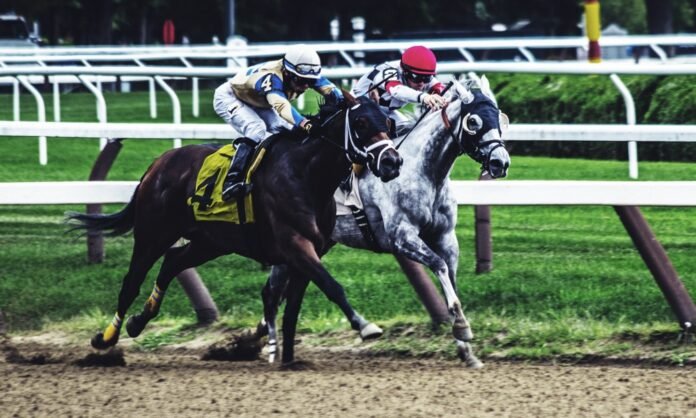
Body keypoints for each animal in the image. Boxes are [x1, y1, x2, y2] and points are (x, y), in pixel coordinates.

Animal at [66, 91, 403, 365]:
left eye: (388, 121)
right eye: (360, 122)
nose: (392, 162)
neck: (307, 175)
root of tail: (158, 163)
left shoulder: (311, 250)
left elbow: (293, 305)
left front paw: (288, 359)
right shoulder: (295, 244)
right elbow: (332, 286)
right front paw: (365, 326)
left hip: (210, 241)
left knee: (172, 263)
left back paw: (138, 322)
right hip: (153, 234)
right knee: (131, 283)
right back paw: (106, 338)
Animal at [260, 78, 510, 367]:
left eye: (501, 118)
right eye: (474, 121)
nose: (500, 162)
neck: (423, 171)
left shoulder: (446, 236)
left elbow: (451, 277)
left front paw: (467, 349)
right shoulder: (402, 237)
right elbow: (438, 265)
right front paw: (461, 327)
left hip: (312, 247)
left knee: (275, 292)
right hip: (292, 242)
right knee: (271, 294)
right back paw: (270, 348)